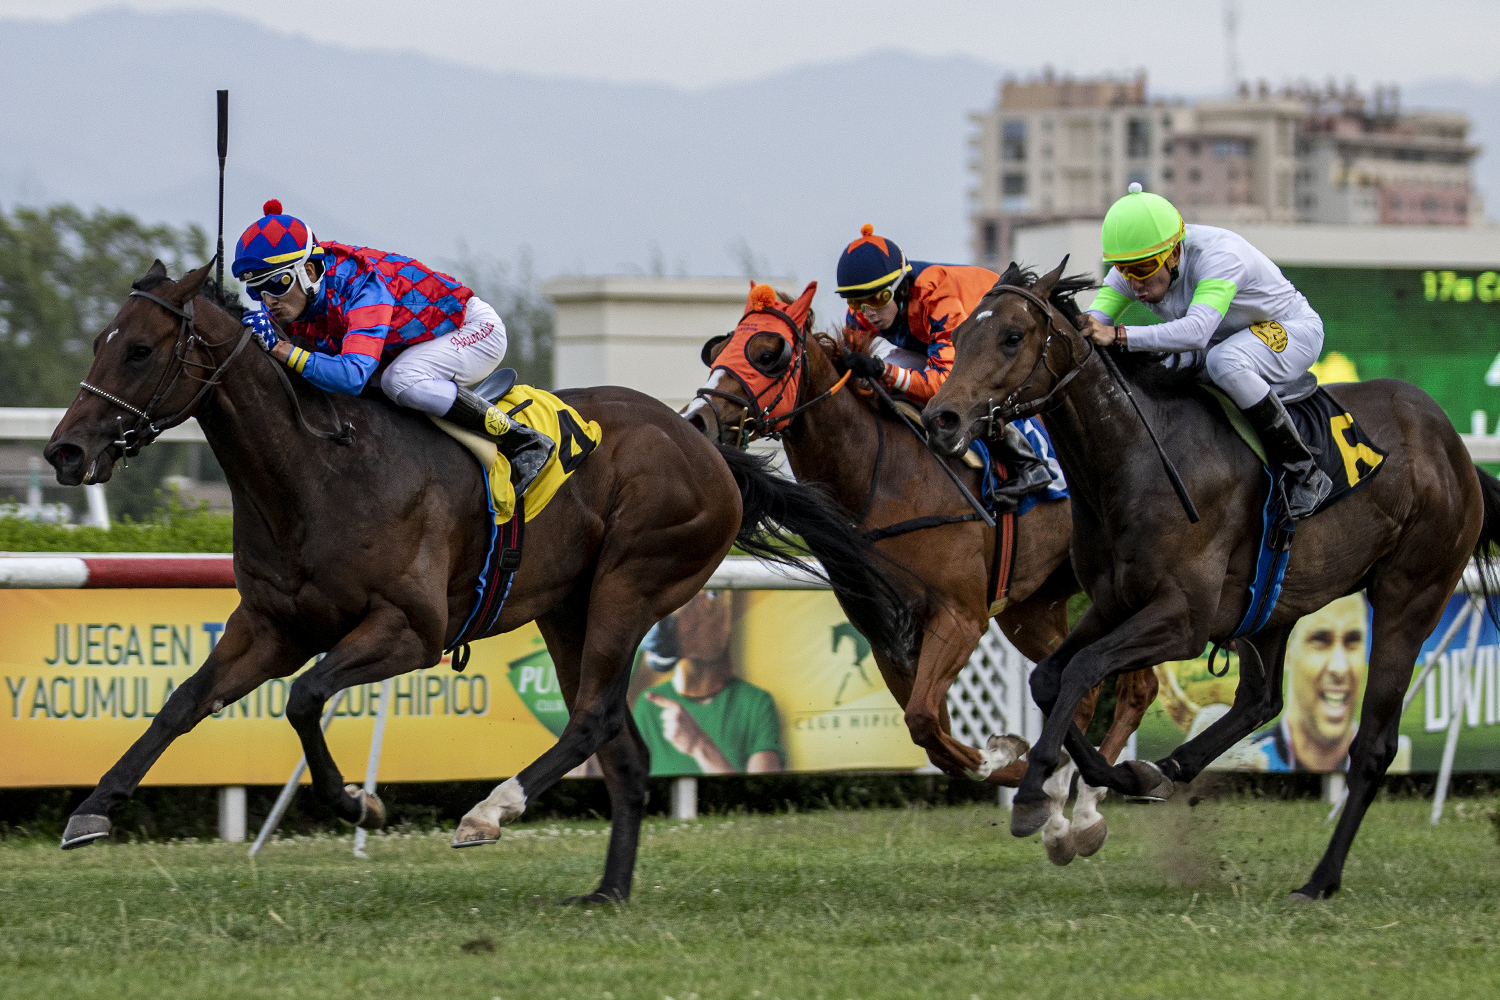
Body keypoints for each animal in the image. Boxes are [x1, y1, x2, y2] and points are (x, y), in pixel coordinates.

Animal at [42, 259, 907, 903]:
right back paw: (607, 891)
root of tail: (706, 447)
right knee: (623, 748)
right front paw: (92, 808)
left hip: (634, 583)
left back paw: (492, 810)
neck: (317, 467)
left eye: (140, 350)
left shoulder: (410, 631)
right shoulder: (271, 626)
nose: (64, 453)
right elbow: (185, 702)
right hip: (568, 609)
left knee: (593, 718)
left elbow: (305, 698)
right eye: (99, 341)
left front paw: (359, 801)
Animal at [683, 275, 1158, 864]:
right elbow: (932, 736)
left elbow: (926, 721)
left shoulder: (959, 618)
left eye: (768, 353)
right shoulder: (887, 635)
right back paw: (1069, 807)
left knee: (1136, 685)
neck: (881, 477)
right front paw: (1025, 777)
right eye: (717, 350)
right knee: (1094, 687)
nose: (697, 420)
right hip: (1030, 610)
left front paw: (1007, 758)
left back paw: (1089, 805)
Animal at [923, 258, 1500, 900]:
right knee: (1259, 700)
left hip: (1410, 597)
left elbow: (1082, 669)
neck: (1135, 458)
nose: (940, 419)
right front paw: (1111, 779)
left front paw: (1032, 798)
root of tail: (1455, 452)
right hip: (1276, 604)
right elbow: (1051, 677)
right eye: (960, 335)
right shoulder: (1115, 602)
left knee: (1373, 746)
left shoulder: (1183, 619)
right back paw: (1167, 767)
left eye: (1012, 336)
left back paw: (1320, 879)